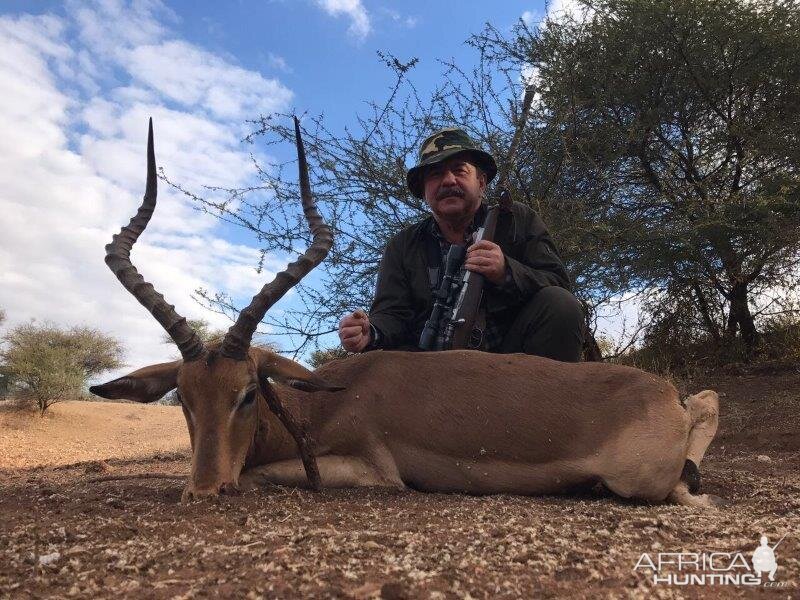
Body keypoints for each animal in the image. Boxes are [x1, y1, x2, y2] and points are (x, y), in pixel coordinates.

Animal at [90, 119, 720, 508]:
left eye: (247, 393)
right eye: (184, 396)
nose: (203, 491)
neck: (316, 404)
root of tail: (663, 394)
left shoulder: (373, 473)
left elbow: (256, 473)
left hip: (638, 480)